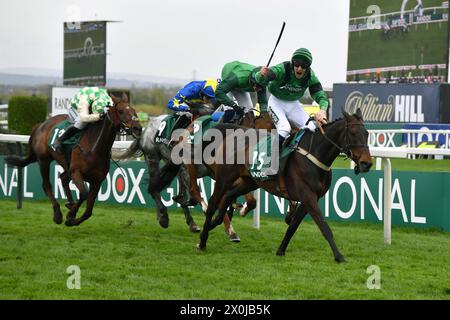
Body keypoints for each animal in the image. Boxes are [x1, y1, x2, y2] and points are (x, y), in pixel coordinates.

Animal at [4, 94, 141, 226]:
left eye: (134, 110)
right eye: (121, 111)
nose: (138, 128)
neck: (95, 147)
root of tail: (40, 125)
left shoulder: (97, 181)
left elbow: (88, 211)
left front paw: (72, 219)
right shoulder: (76, 172)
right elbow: (84, 194)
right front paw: (70, 215)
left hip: (66, 165)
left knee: (63, 178)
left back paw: (69, 203)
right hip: (44, 160)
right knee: (47, 184)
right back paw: (58, 214)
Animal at [197, 110, 372, 262]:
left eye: (367, 134)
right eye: (353, 133)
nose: (367, 163)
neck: (314, 154)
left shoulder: (310, 198)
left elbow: (293, 225)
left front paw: (280, 250)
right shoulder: (308, 196)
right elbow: (324, 226)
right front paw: (339, 256)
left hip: (250, 181)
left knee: (228, 196)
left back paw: (216, 224)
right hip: (224, 178)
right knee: (212, 203)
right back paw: (202, 240)